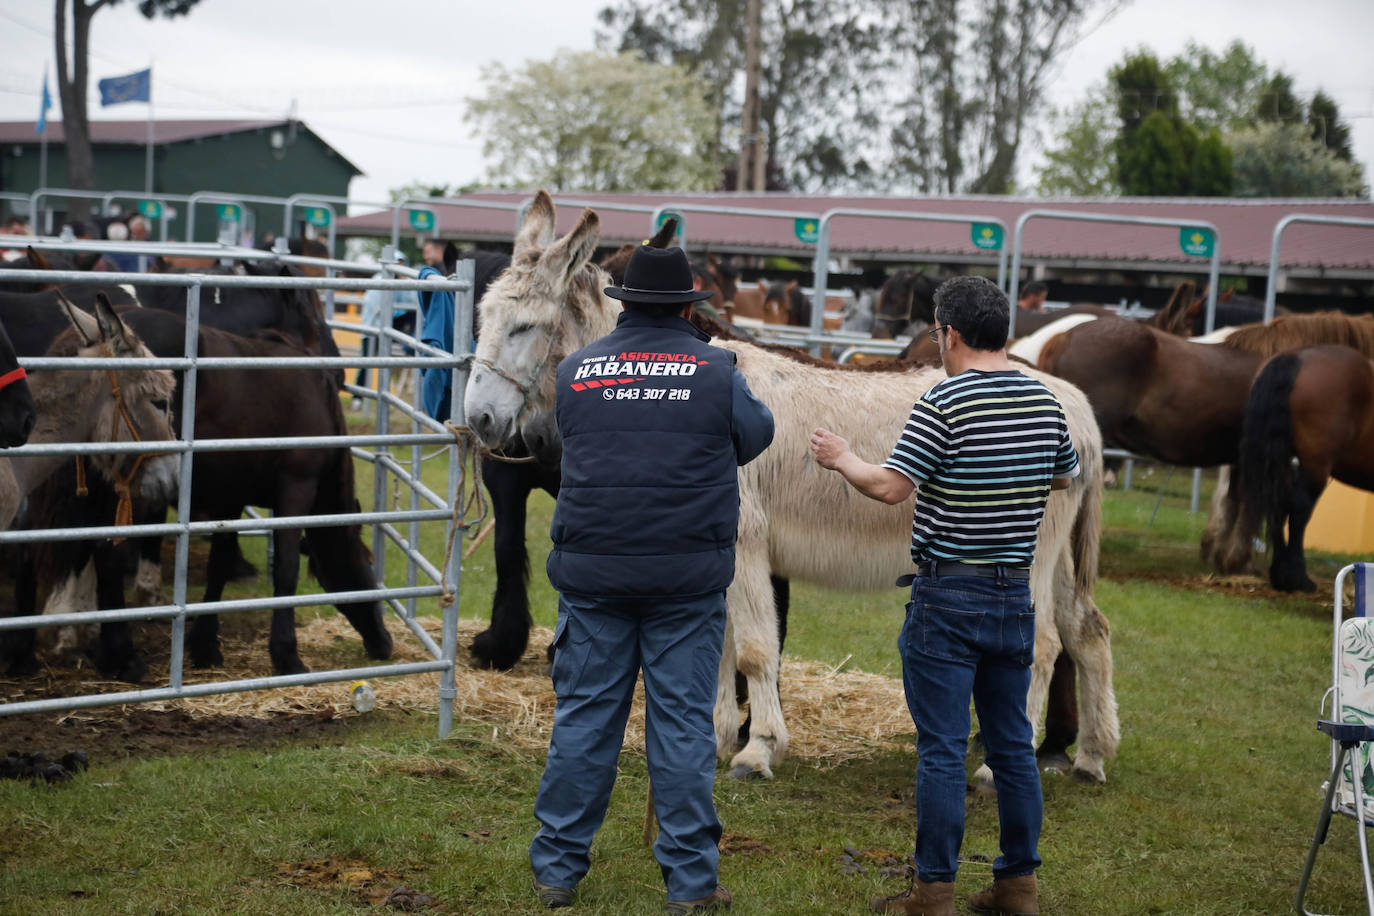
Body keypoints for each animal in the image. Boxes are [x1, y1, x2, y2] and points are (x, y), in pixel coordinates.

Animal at [1225, 347, 1374, 590]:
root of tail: (1297, 357)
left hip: (1282, 460)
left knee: (1277, 505)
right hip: (1315, 465)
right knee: (1298, 512)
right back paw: (1297, 577)